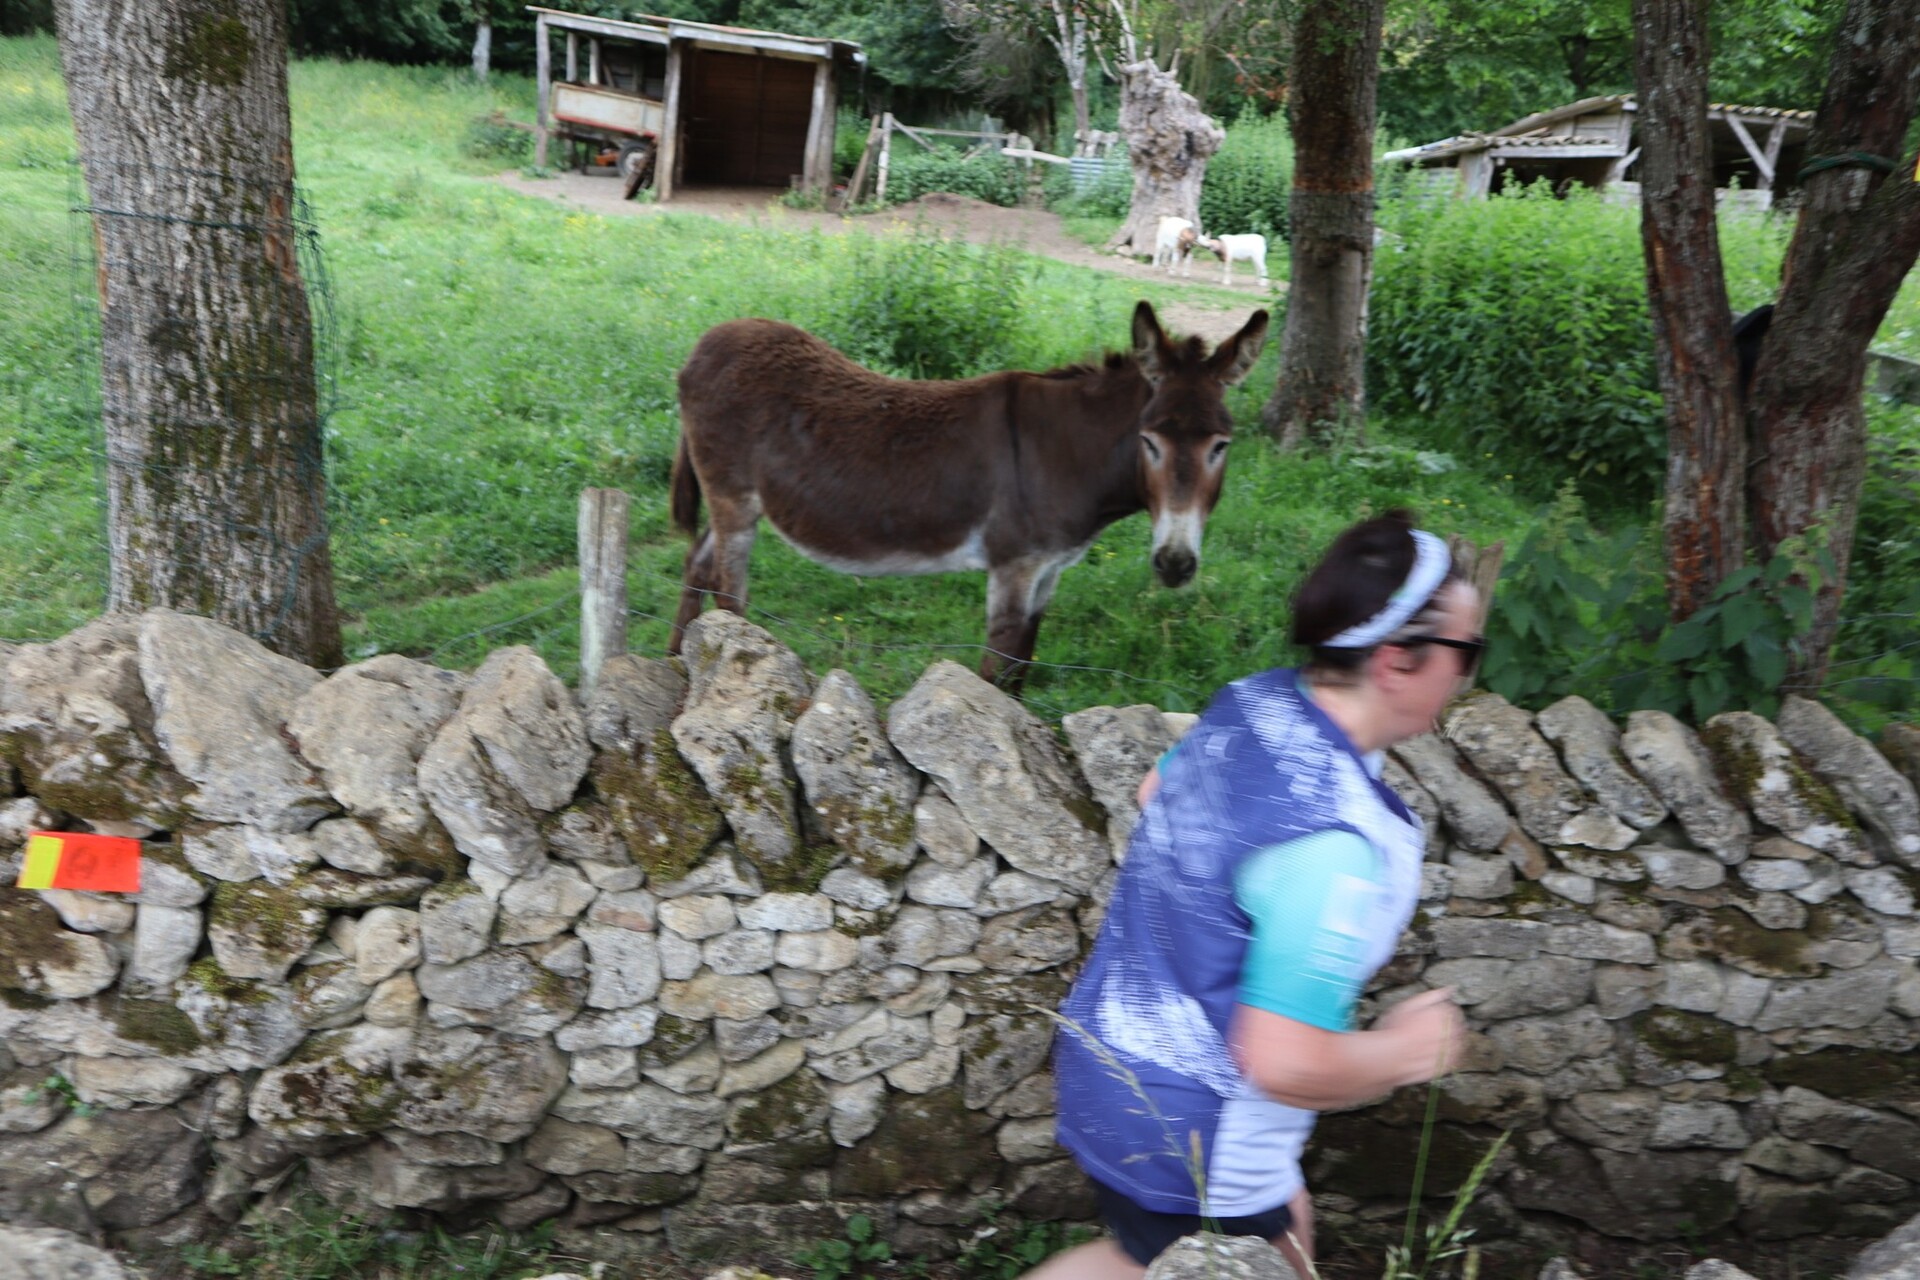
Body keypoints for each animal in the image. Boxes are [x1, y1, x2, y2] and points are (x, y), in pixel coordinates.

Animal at [668, 300, 1269, 690]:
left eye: (1221, 446)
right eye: (1150, 441)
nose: (1175, 564)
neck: (1069, 452)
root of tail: (703, 344)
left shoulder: (1050, 571)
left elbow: (1021, 668)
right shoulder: (1013, 568)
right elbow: (995, 669)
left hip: (731, 502)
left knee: (697, 564)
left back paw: (676, 667)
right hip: (733, 497)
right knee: (729, 593)